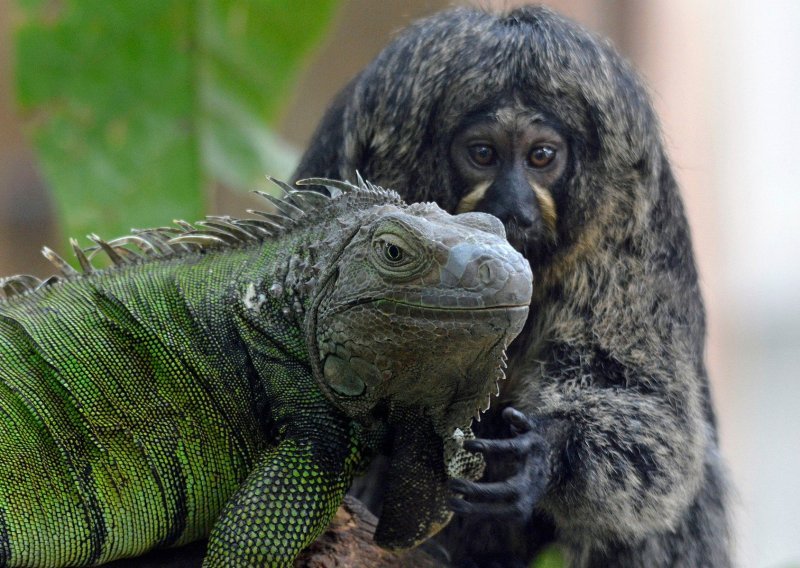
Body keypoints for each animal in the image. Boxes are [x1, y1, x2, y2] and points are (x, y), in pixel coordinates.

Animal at [294, 5, 732, 568]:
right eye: (483, 153)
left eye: (541, 156)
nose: (514, 205)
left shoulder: (631, 225)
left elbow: (657, 420)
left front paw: (547, 454)